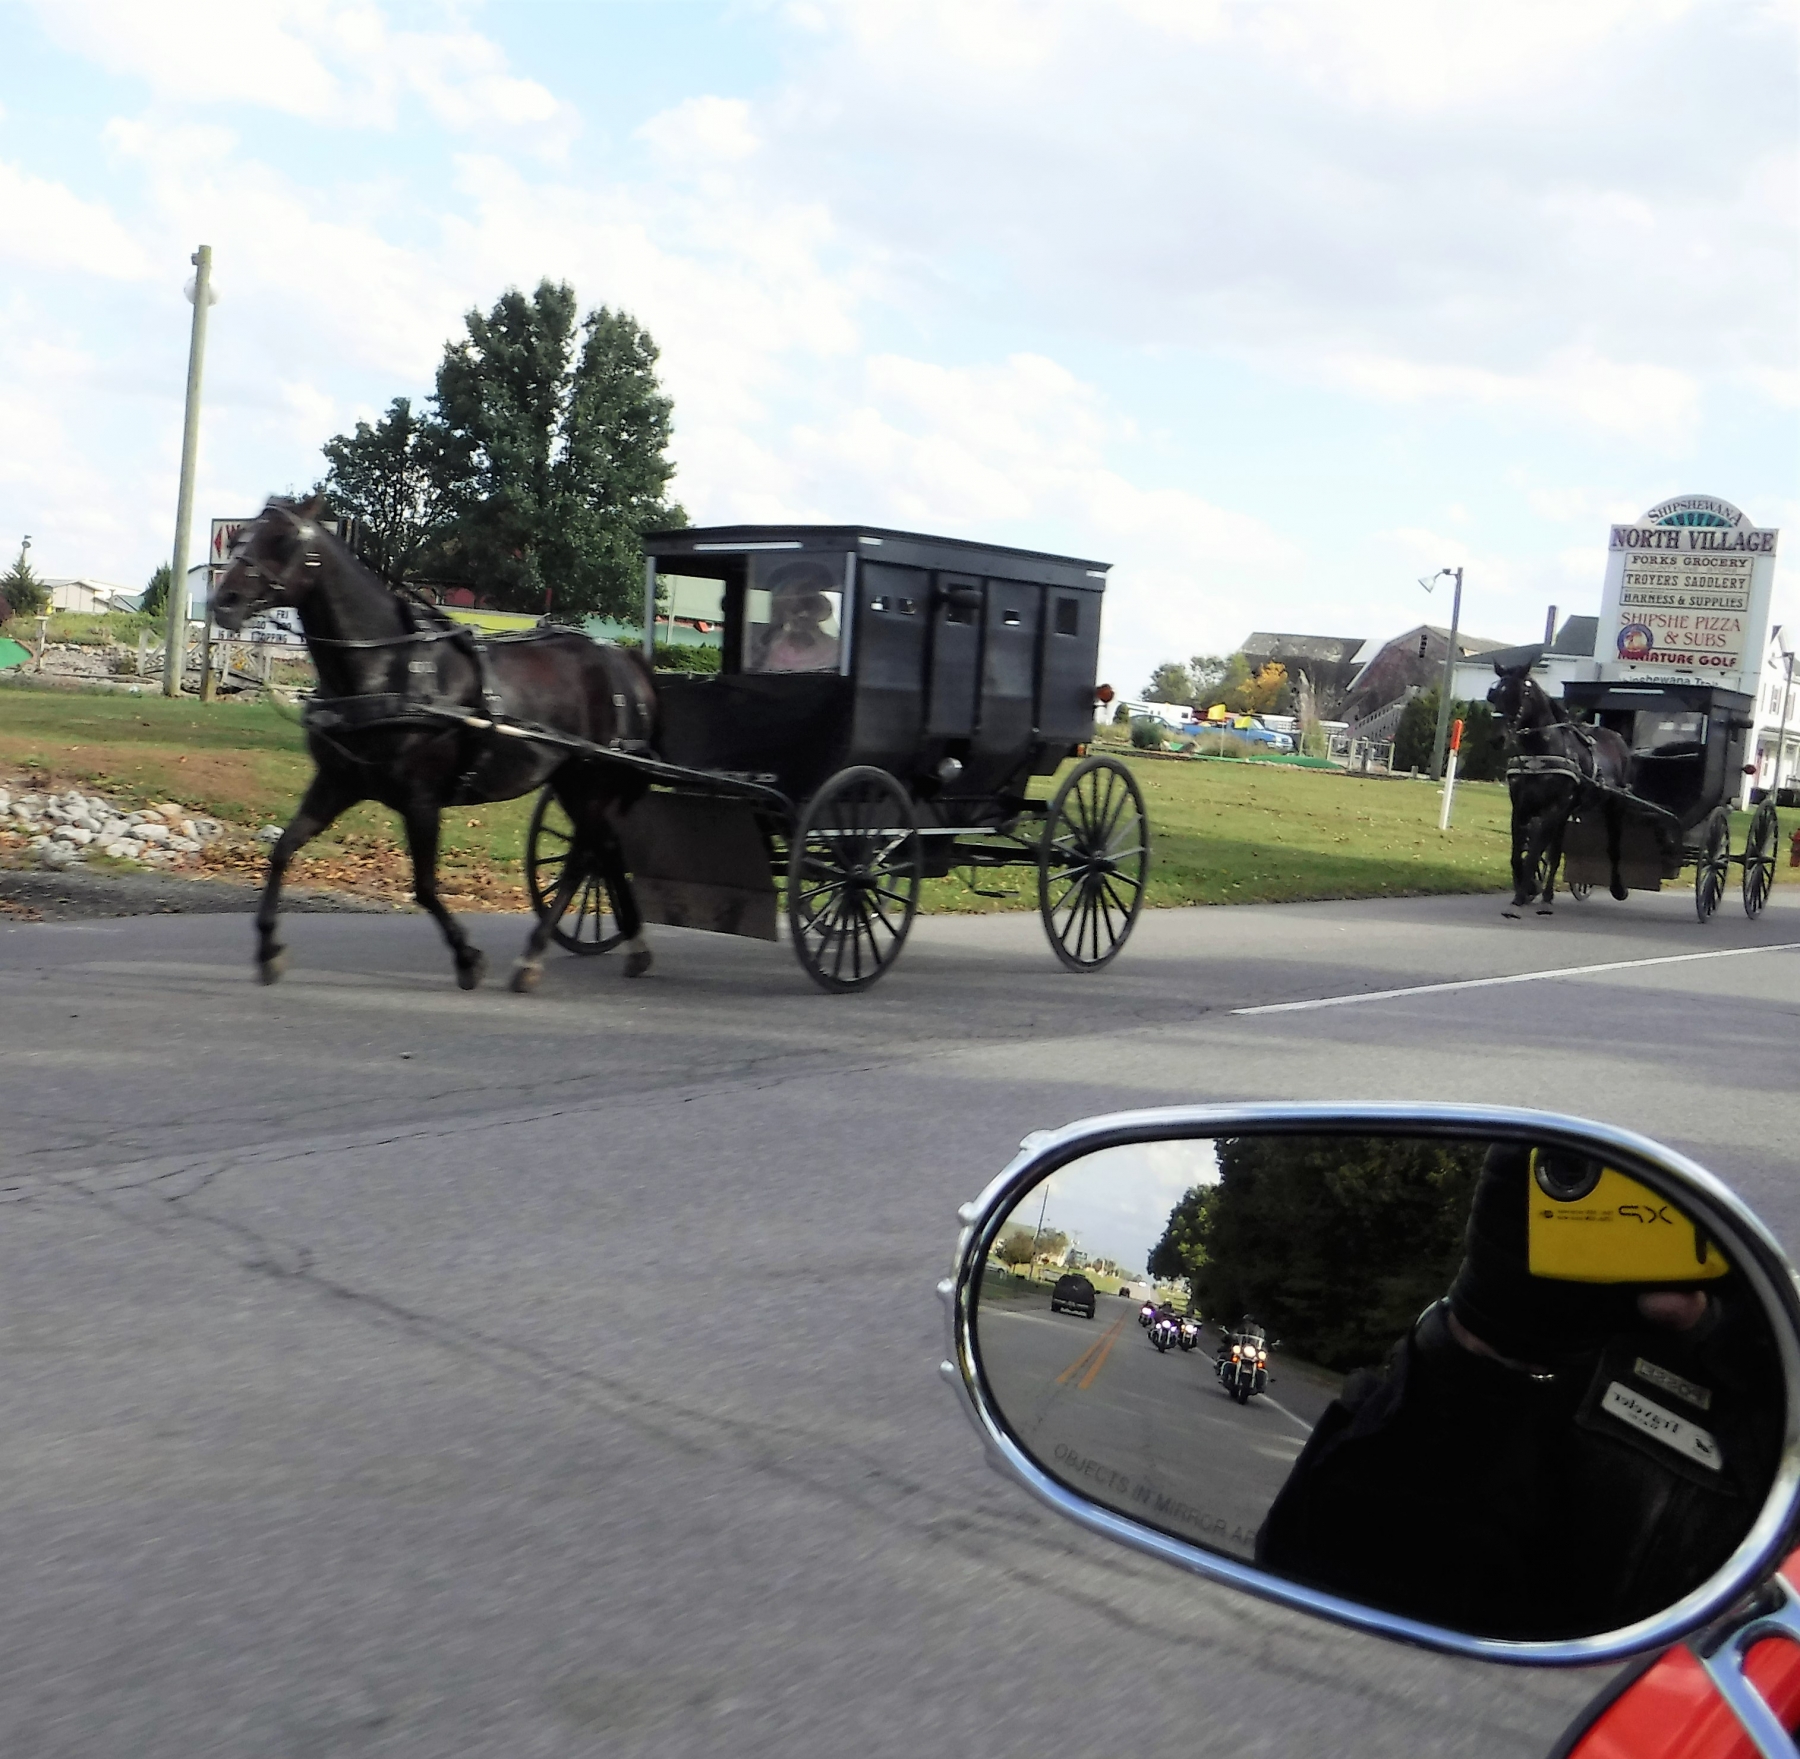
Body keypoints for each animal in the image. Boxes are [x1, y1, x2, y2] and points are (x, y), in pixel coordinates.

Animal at [209, 497, 655, 993]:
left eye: (282, 539)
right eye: (240, 535)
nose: (223, 601)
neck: (387, 669)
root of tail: (621, 658)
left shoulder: (420, 799)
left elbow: (424, 886)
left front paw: (467, 958)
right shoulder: (337, 782)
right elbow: (283, 850)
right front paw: (268, 947)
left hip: (588, 779)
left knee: (586, 857)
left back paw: (534, 956)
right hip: (571, 782)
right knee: (604, 849)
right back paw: (633, 946)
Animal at [1487, 663, 1632, 917]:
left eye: (1518, 694)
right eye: (1494, 695)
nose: (1498, 738)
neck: (1540, 751)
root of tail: (1617, 737)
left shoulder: (1554, 807)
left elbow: (1534, 851)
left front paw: (1521, 895)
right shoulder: (1521, 806)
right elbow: (1518, 854)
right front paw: (1529, 886)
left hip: (1613, 806)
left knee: (1612, 846)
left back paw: (1616, 887)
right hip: (1566, 814)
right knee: (1555, 852)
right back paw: (1546, 896)